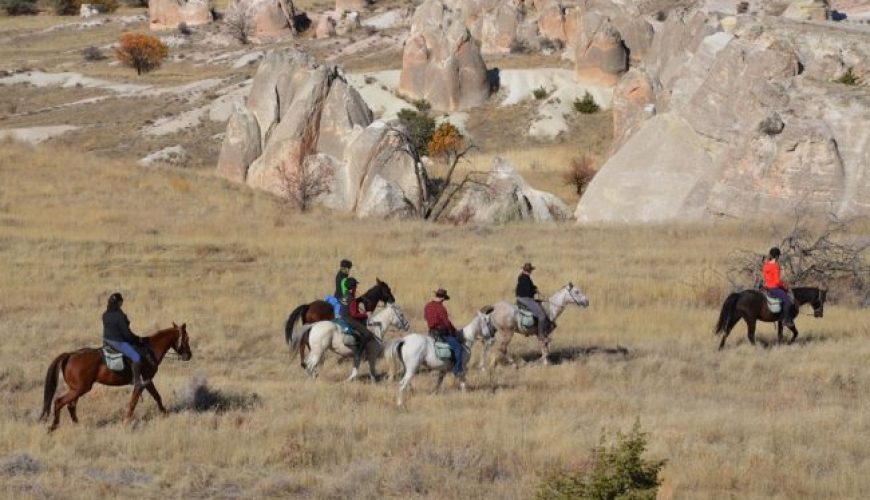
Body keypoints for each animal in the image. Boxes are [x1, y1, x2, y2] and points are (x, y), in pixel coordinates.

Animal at [39, 322, 192, 432]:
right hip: (80, 389)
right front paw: (126, 421)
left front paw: (165, 413)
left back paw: (77, 425)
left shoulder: (148, 382)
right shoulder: (143, 382)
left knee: (70, 405)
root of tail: (70, 355)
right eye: (186, 338)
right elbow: (134, 402)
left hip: (76, 389)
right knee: (59, 402)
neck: (149, 351)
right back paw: (53, 427)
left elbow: (157, 397)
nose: (189, 356)